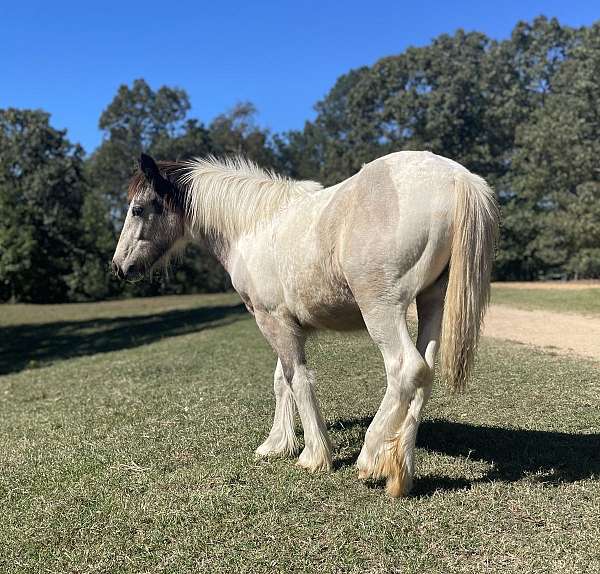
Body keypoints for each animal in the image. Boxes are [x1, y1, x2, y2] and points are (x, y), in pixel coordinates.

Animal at [111, 151, 496, 498]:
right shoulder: (289, 325)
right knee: (425, 376)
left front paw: (313, 455)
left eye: (137, 209)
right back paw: (399, 470)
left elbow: (297, 378)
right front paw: (276, 444)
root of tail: (457, 177)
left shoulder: (271, 319)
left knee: (406, 369)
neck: (254, 225)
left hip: (382, 309)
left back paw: (370, 457)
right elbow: (281, 379)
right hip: (431, 303)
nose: (118, 267)